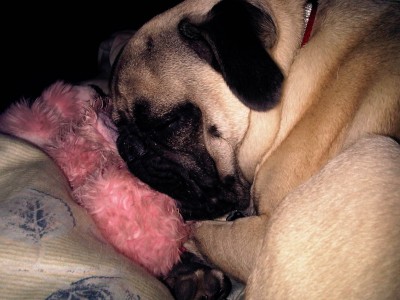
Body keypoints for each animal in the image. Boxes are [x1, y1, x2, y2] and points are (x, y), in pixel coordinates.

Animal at [109, 0, 400, 298]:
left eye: (167, 123)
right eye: (116, 123)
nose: (127, 146)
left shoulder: (258, 237)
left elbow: (191, 231)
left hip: (377, 150)